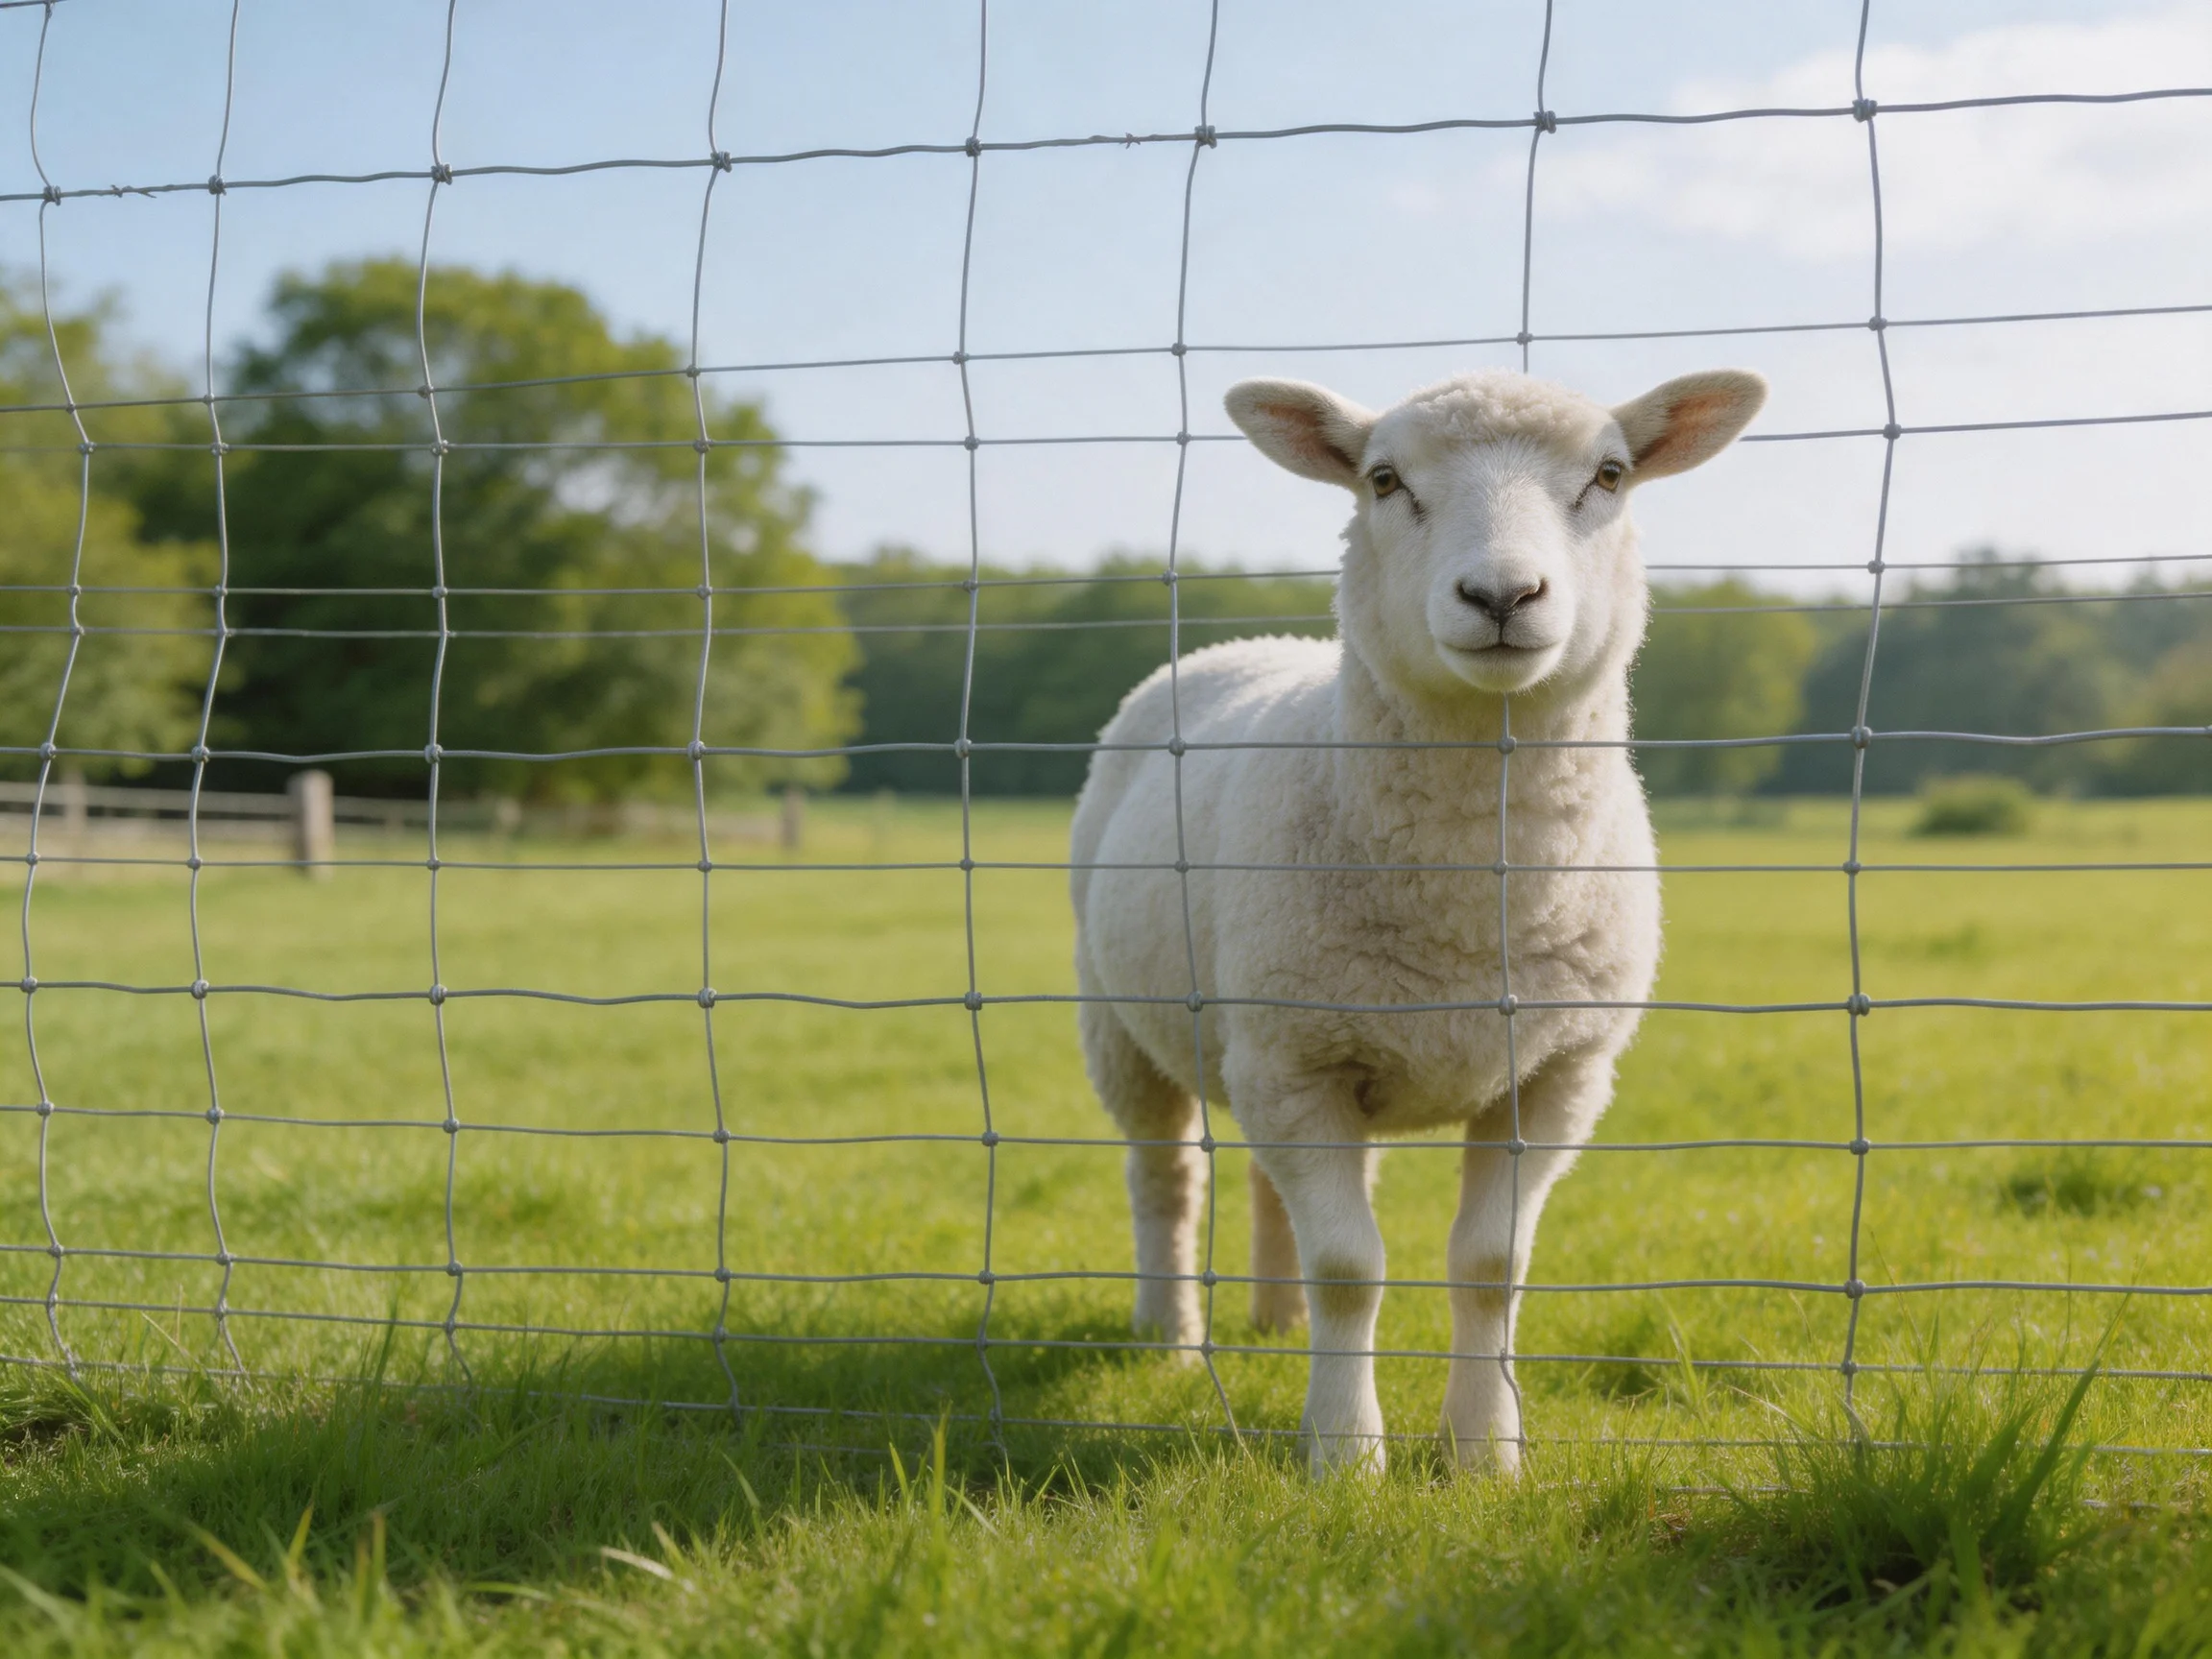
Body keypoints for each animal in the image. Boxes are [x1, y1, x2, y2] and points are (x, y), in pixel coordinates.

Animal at [1069, 366, 1767, 1476]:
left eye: (1611, 475)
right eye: (1384, 479)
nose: (1501, 597)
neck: (1473, 901)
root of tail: (1255, 643)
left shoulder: (1554, 1074)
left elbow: (1491, 1263)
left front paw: (1485, 1452)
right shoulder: (1297, 1061)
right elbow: (1349, 1267)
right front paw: (1345, 1458)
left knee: (1265, 1183)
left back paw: (1274, 1323)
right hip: (1125, 1025)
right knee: (1165, 1178)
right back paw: (1169, 1338)